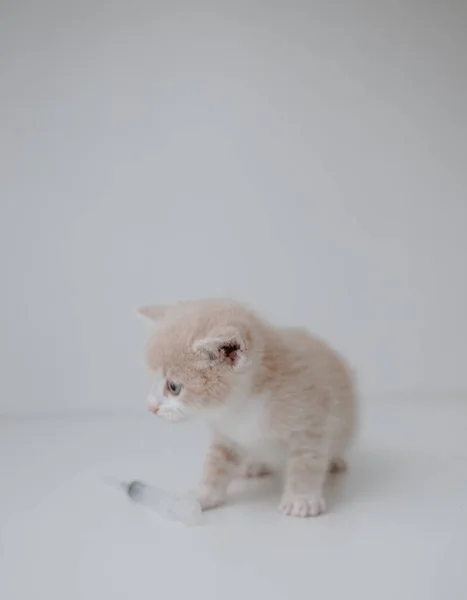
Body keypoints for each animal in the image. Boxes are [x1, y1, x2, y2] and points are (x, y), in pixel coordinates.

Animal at [139, 298, 358, 516]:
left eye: (174, 387)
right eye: (152, 380)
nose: (150, 406)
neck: (243, 408)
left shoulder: (311, 423)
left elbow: (306, 462)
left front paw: (301, 499)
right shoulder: (226, 435)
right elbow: (215, 464)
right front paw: (202, 494)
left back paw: (335, 462)